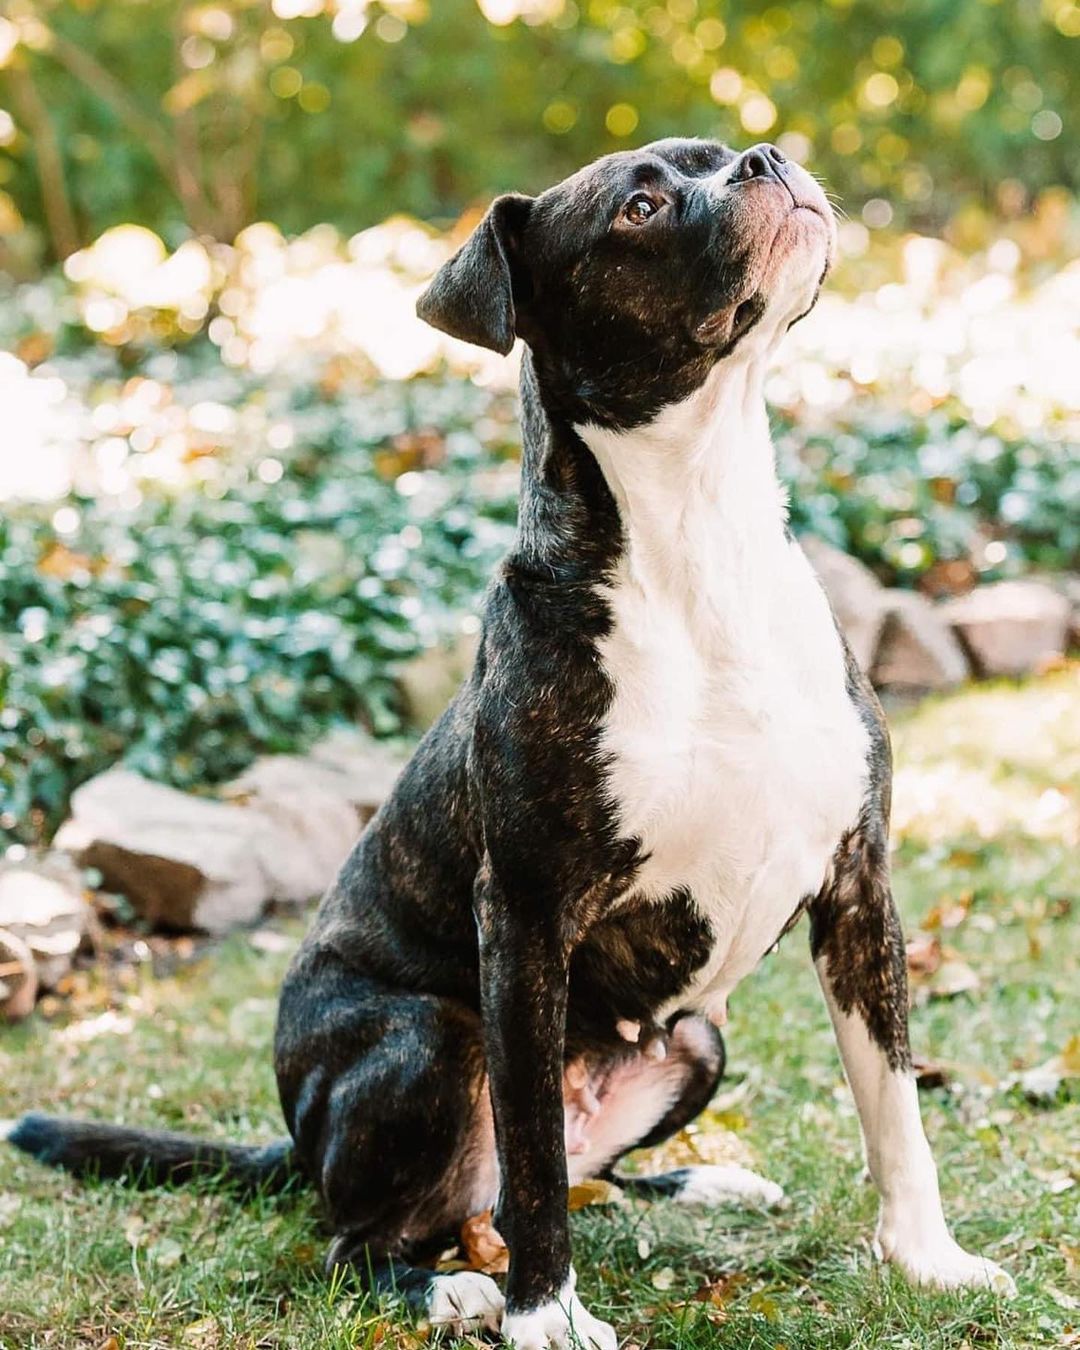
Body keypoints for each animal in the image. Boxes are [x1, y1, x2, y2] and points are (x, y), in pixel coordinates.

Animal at [8, 139, 1015, 1350]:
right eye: (640, 205)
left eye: (713, 156)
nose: (766, 157)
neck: (703, 539)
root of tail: (298, 1147)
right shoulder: (527, 919)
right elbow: (531, 1149)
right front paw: (548, 1317)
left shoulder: (859, 889)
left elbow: (894, 1106)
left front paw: (927, 1260)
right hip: (427, 1041)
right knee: (374, 1234)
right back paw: (447, 1284)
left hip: (698, 1042)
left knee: (581, 1178)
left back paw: (699, 1184)